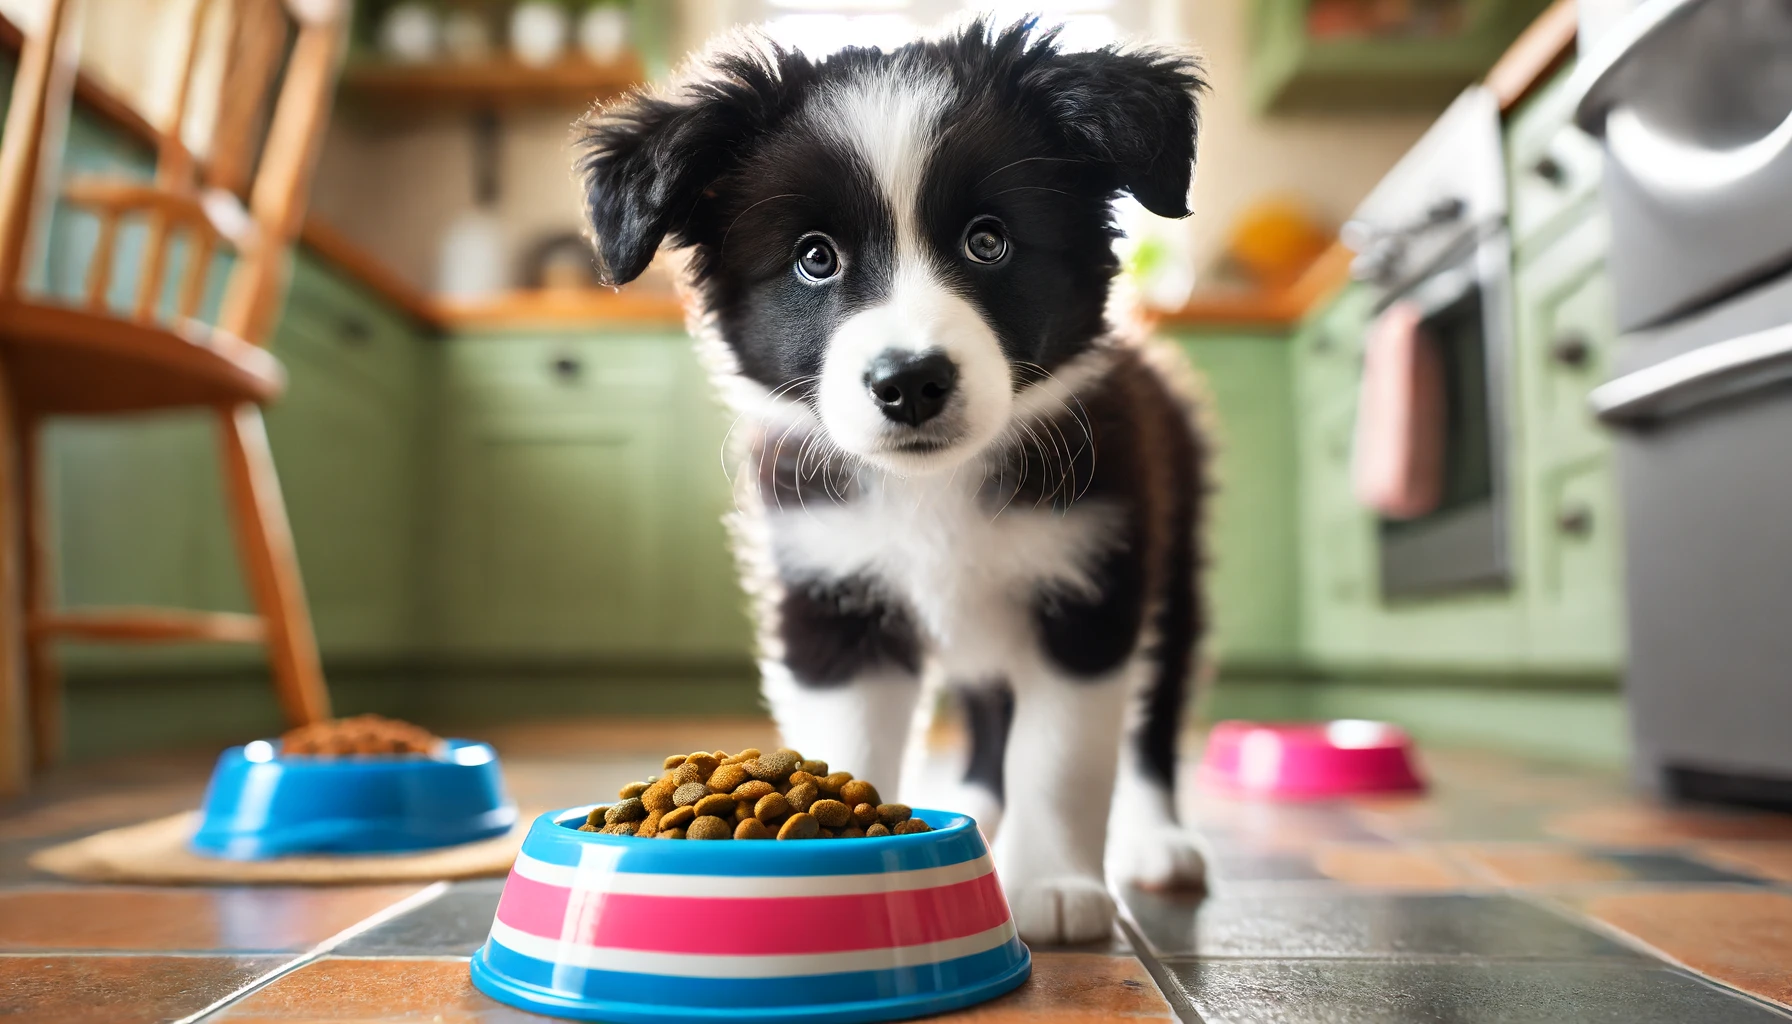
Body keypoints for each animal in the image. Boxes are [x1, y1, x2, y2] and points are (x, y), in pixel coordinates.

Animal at [580, 18, 1211, 946]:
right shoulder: (833, 595)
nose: (910, 382)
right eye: (814, 258)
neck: (932, 489)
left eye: (989, 240)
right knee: (988, 713)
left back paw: (1158, 840)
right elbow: (849, 742)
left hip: (1175, 560)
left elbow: (1063, 757)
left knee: (1152, 715)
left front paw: (1055, 886)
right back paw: (981, 807)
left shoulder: (1091, 585)